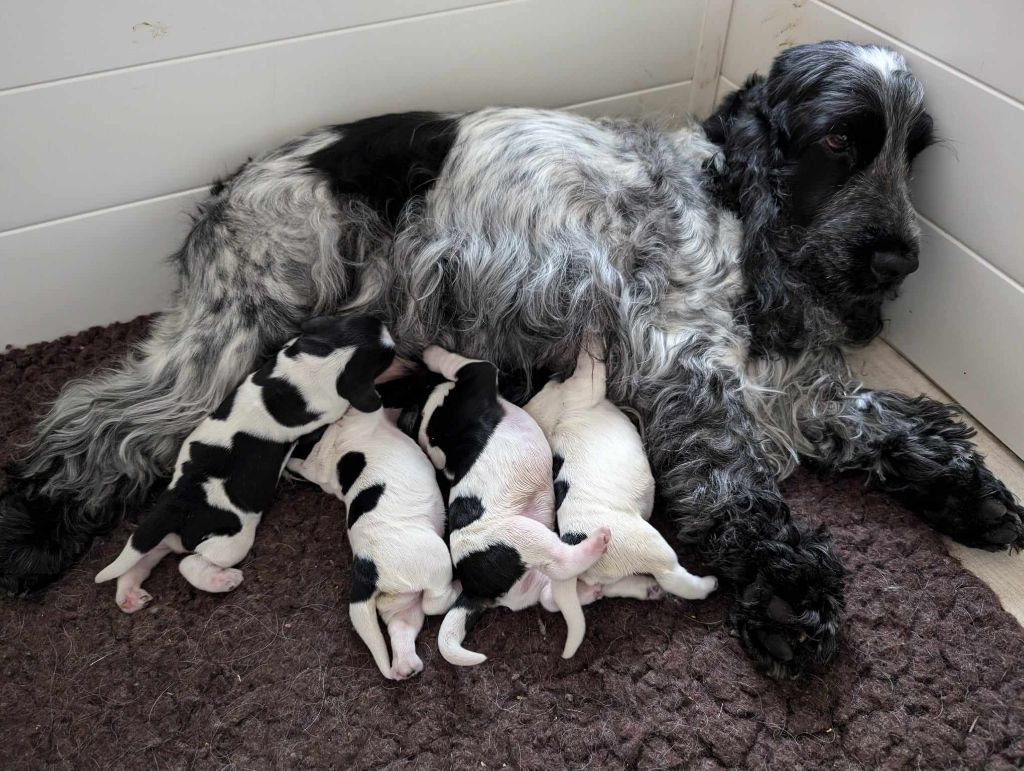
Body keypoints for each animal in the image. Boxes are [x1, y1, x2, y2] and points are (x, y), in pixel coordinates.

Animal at [95, 315, 395, 610]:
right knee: (189, 563)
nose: (386, 325)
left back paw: (129, 595)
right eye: (386, 357)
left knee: (139, 557)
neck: (321, 359)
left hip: (161, 536)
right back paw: (222, 580)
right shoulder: (332, 403)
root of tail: (179, 501)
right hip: (230, 542)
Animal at [286, 403, 458, 679]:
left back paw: (407, 667)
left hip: (399, 603)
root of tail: (367, 570)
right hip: (436, 560)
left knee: (401, 630)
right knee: (435, 602)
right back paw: (456, 590)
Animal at [401, 346, 606, 663]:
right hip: (521, 535)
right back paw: (597, 543)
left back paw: (589, 590)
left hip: (528, 574)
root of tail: (474, 590)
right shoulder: (478, 375)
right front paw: (432, 352)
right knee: (561, 564)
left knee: (549, 594)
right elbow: (463, 362)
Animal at [524, 341, 716, 655]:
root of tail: (574, 542)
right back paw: (705, 585)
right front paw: (591, 338)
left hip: (609, 571)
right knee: (672, 576)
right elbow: (590, 364)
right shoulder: (582, 386)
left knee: (603, 588)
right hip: (647, 543)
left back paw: (643, 588)